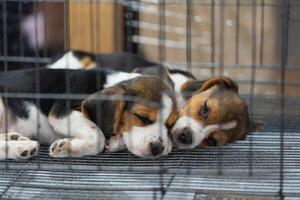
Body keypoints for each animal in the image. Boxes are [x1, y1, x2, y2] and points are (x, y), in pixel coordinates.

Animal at [0, 68, 176, 159]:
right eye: (143, 118)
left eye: (170, 125)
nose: (158, 148)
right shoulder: (61, 111)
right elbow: (98, 136)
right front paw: (65, 147)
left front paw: (115, 141)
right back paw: (22, 147)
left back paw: (15, 138)